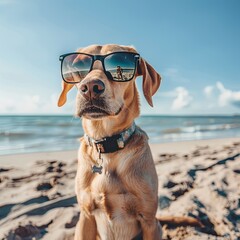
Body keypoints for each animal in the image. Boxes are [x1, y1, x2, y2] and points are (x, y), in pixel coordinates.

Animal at [58, 44, 162, 239]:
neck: (106, 144)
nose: (90, 87)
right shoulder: (86, 216)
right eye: (79, 64)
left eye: (119, 60)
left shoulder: (149, 221)